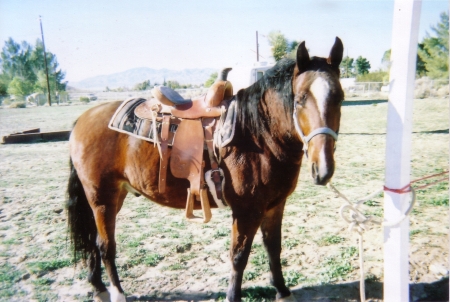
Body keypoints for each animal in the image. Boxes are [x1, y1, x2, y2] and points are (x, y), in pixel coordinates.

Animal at [67, 36, 344, 300]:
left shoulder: (275, 205)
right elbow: (239, 255)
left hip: (113, 196)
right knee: (105, 246)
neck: (258, 134)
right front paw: (233, 295)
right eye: (300, 99)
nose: (323, 168)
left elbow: (273, 248)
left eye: (340, 98)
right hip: (101, 198)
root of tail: (82, 119)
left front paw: (283, 291)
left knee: (94, 241)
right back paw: (117, 293)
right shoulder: (247, 210)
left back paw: (98, 287)